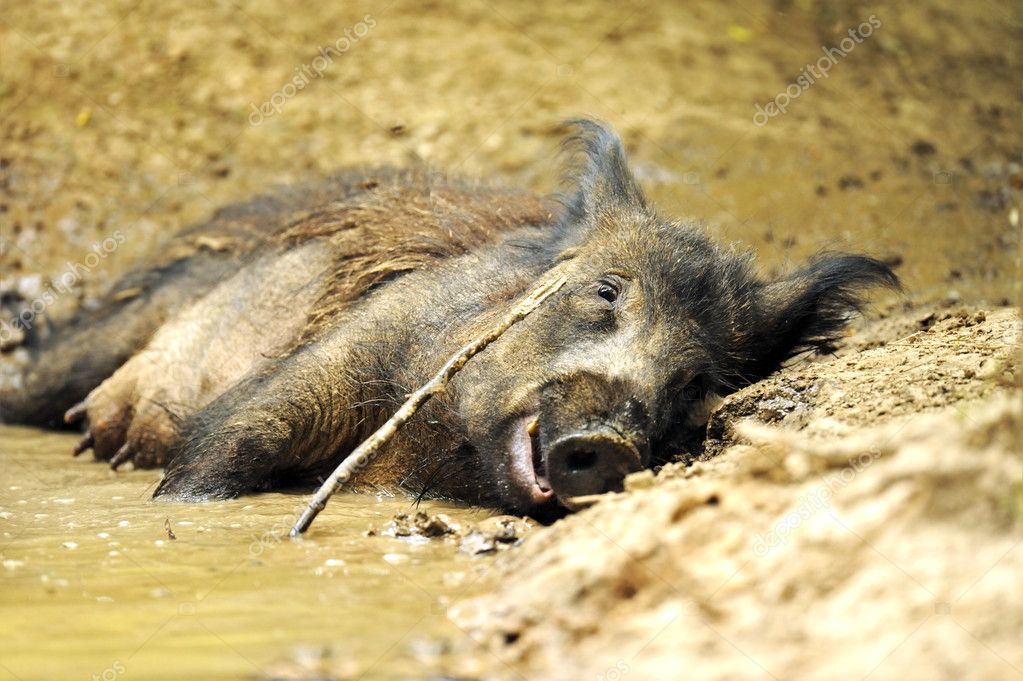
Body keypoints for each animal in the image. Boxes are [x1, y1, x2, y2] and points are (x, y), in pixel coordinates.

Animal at [0, 120, 898, 515]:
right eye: (607, 292)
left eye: (695, 380)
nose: (609, 442)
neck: (434, 457)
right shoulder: (359, 341)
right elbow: (234, 440)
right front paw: (177, 510)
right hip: (120, 324)